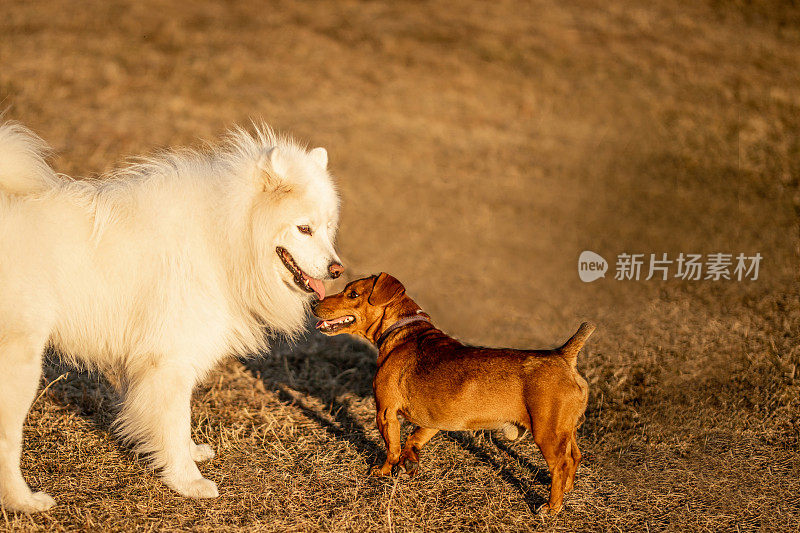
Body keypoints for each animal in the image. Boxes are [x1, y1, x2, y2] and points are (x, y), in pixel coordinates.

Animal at [0, 121, 340, 512]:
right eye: (304, 229)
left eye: (328, 228)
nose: (337, 269)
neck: (224, 235)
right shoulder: (169, 360)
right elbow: (174, 421)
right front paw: (188, 480)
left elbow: (170, 421)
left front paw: (189, 454)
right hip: (21, 363)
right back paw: (23, 502)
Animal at [312, 272, 592, 512]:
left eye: (353, 294)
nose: (314, 302)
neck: (403, 331)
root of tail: (563, 356)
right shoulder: (433, 419)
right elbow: (412, 440)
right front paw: (410, 462)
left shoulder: (385, 413)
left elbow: (392, 449)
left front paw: (382, 472)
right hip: (565, 430)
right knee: (575, 456)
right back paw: (567, 490)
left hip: (547, 433)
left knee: (561, 465)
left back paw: (552, 506)